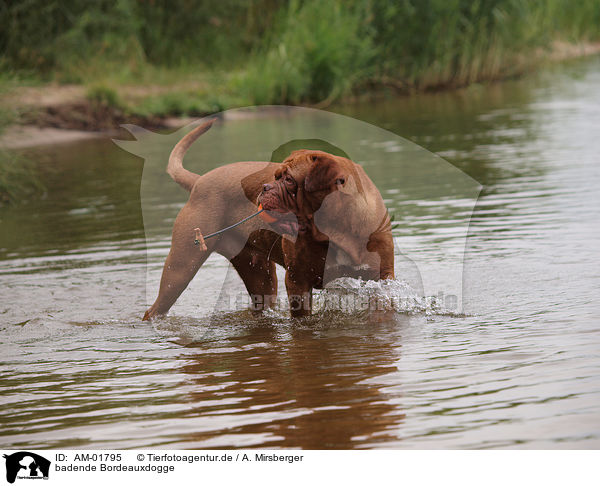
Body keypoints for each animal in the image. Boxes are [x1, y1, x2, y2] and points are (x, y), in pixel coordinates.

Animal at [141, 120, 394, 320]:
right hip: (181, 266)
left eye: (289, 180)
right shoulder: (297, 281)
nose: (265, 187)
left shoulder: (382, 278)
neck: (336, 229)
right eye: (276, 176)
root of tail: (199, 180)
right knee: (155, 307)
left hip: (259, 274)